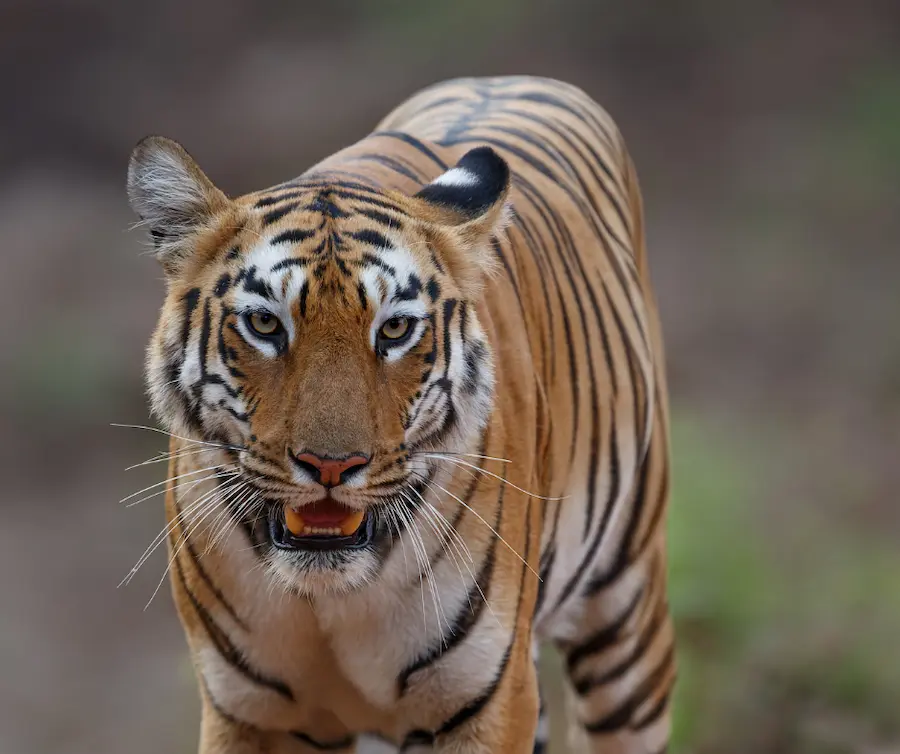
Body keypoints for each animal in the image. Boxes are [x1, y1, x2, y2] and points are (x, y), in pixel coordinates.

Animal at [126, 75, 673, 754]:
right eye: (264, 324)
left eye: (393, 330)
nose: (331, 467)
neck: (328, 600)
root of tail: (509, 77)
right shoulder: (247, 711)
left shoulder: (491, 699)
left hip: (626, 613)